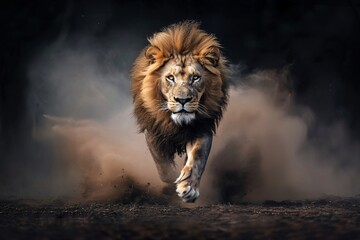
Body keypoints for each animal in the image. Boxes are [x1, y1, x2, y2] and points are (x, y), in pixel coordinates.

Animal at [131, 21, 229, 202]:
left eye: (195, 78)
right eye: (170, 77)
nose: (182, 100)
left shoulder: (202, 129)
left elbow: (197, 158)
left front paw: (188, 187)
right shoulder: (153, 131)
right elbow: (163, 166)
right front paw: (172, 183)